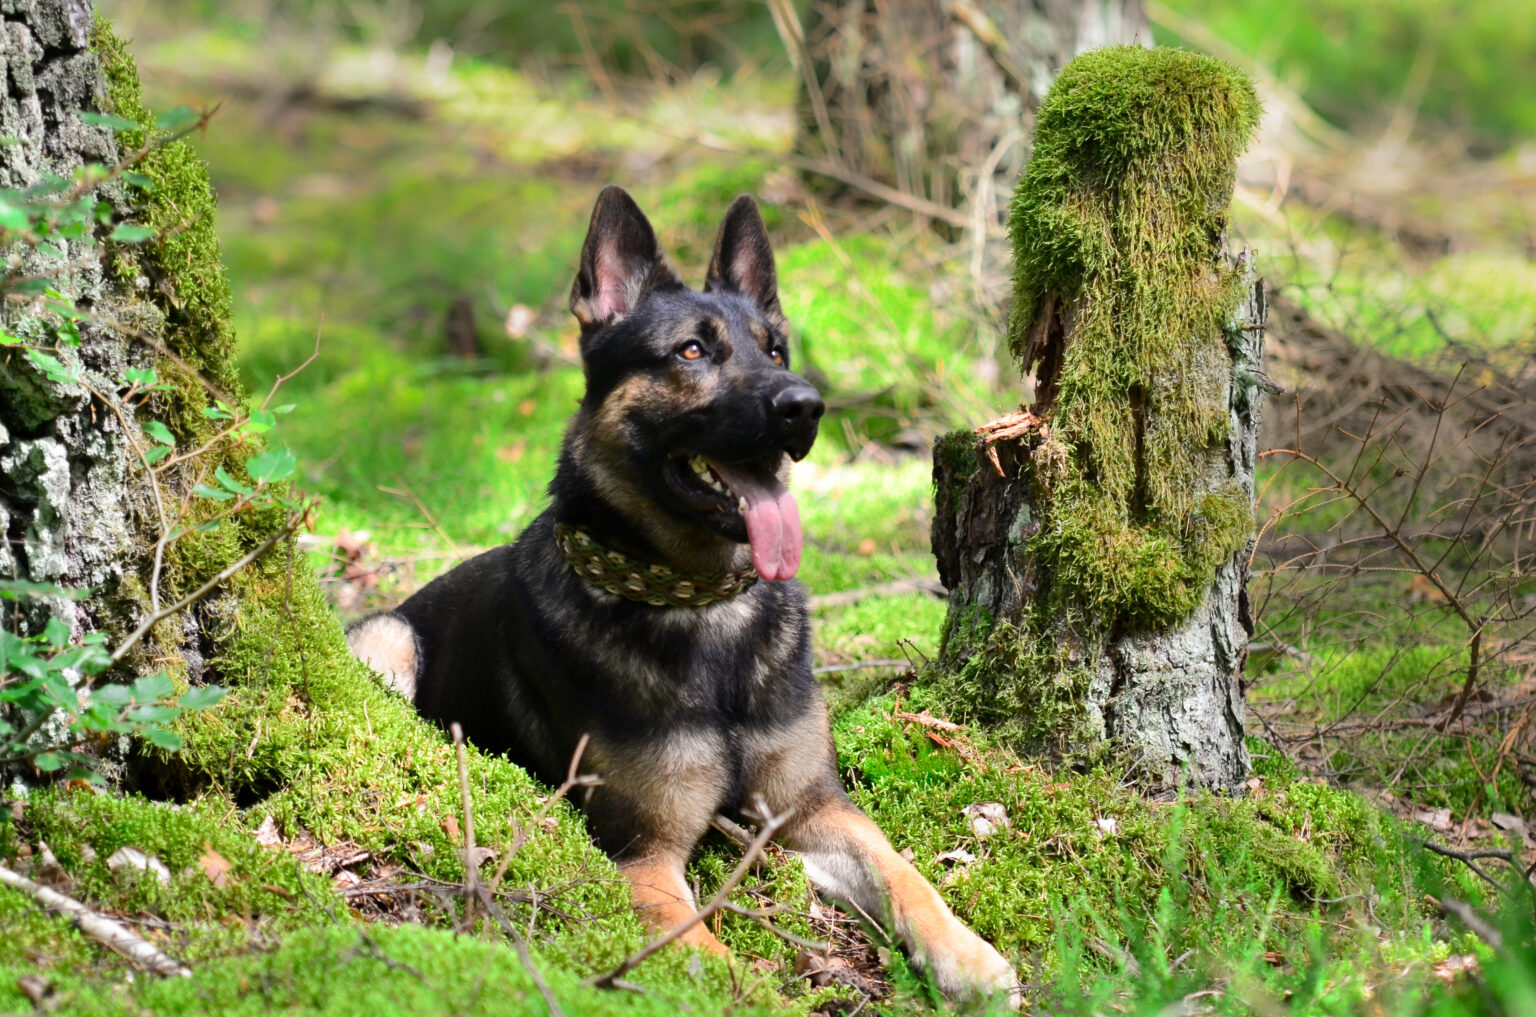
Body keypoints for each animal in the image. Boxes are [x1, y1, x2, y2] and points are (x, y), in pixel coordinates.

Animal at [348, 187, 1019, 1007]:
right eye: (691, 353)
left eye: (776, 351)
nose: (807, 406)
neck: (702, 604)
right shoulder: (645, 854)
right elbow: (721, 967)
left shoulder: (813, 808)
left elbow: (904, 871)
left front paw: (967, 956)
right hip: (385, 639)